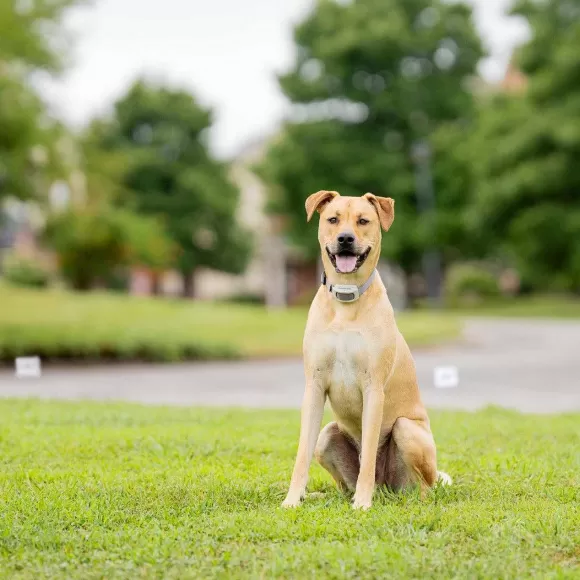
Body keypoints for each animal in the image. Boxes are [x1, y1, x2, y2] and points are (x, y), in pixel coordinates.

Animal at [284, 189, 450, 508]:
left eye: (363, 220)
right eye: (333, 219)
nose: (345, 239)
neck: (346, 301)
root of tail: (386, 487)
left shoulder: (373, 388)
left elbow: (370, 453)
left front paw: (362, 503)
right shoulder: (314, 385)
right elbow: (301, 454)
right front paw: (292, 499)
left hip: (406, 430)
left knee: (423, 486)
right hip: (327, 436)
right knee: (340, 478)